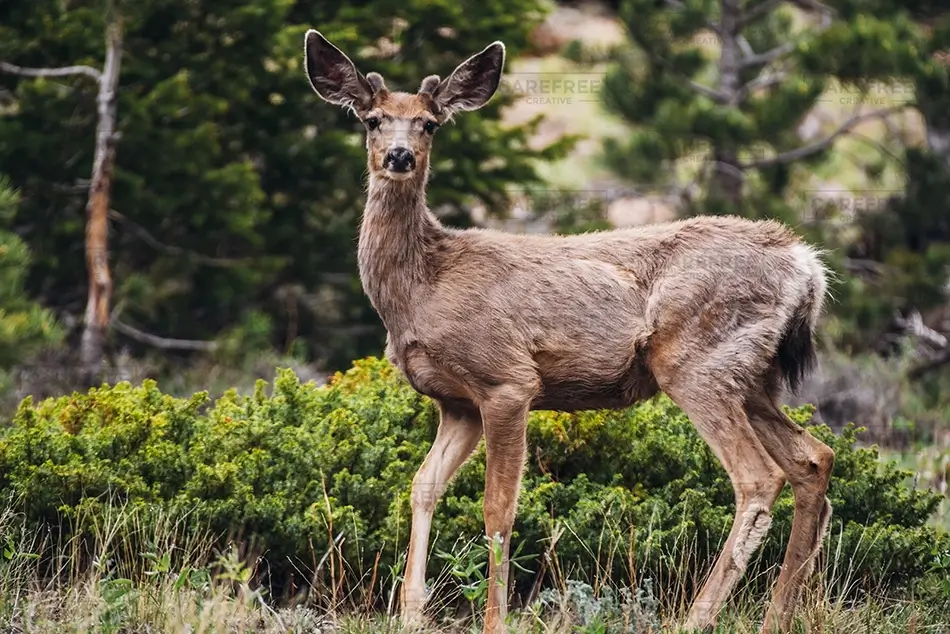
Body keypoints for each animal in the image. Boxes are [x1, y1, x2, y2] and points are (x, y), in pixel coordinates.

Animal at [303, 30, 835, 634]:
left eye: (429, 123)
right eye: (372, 119)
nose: (399, 155)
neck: (423, 287)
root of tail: (806, 264)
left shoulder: (507, 381)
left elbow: (498, 506)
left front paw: (494, 619)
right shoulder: (456, 402)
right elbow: (421, 487)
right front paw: (411, 613)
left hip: (697, 361)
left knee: (758, 478)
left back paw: (696, 616)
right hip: (755, 376)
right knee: (813, 460)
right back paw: (777, 615)